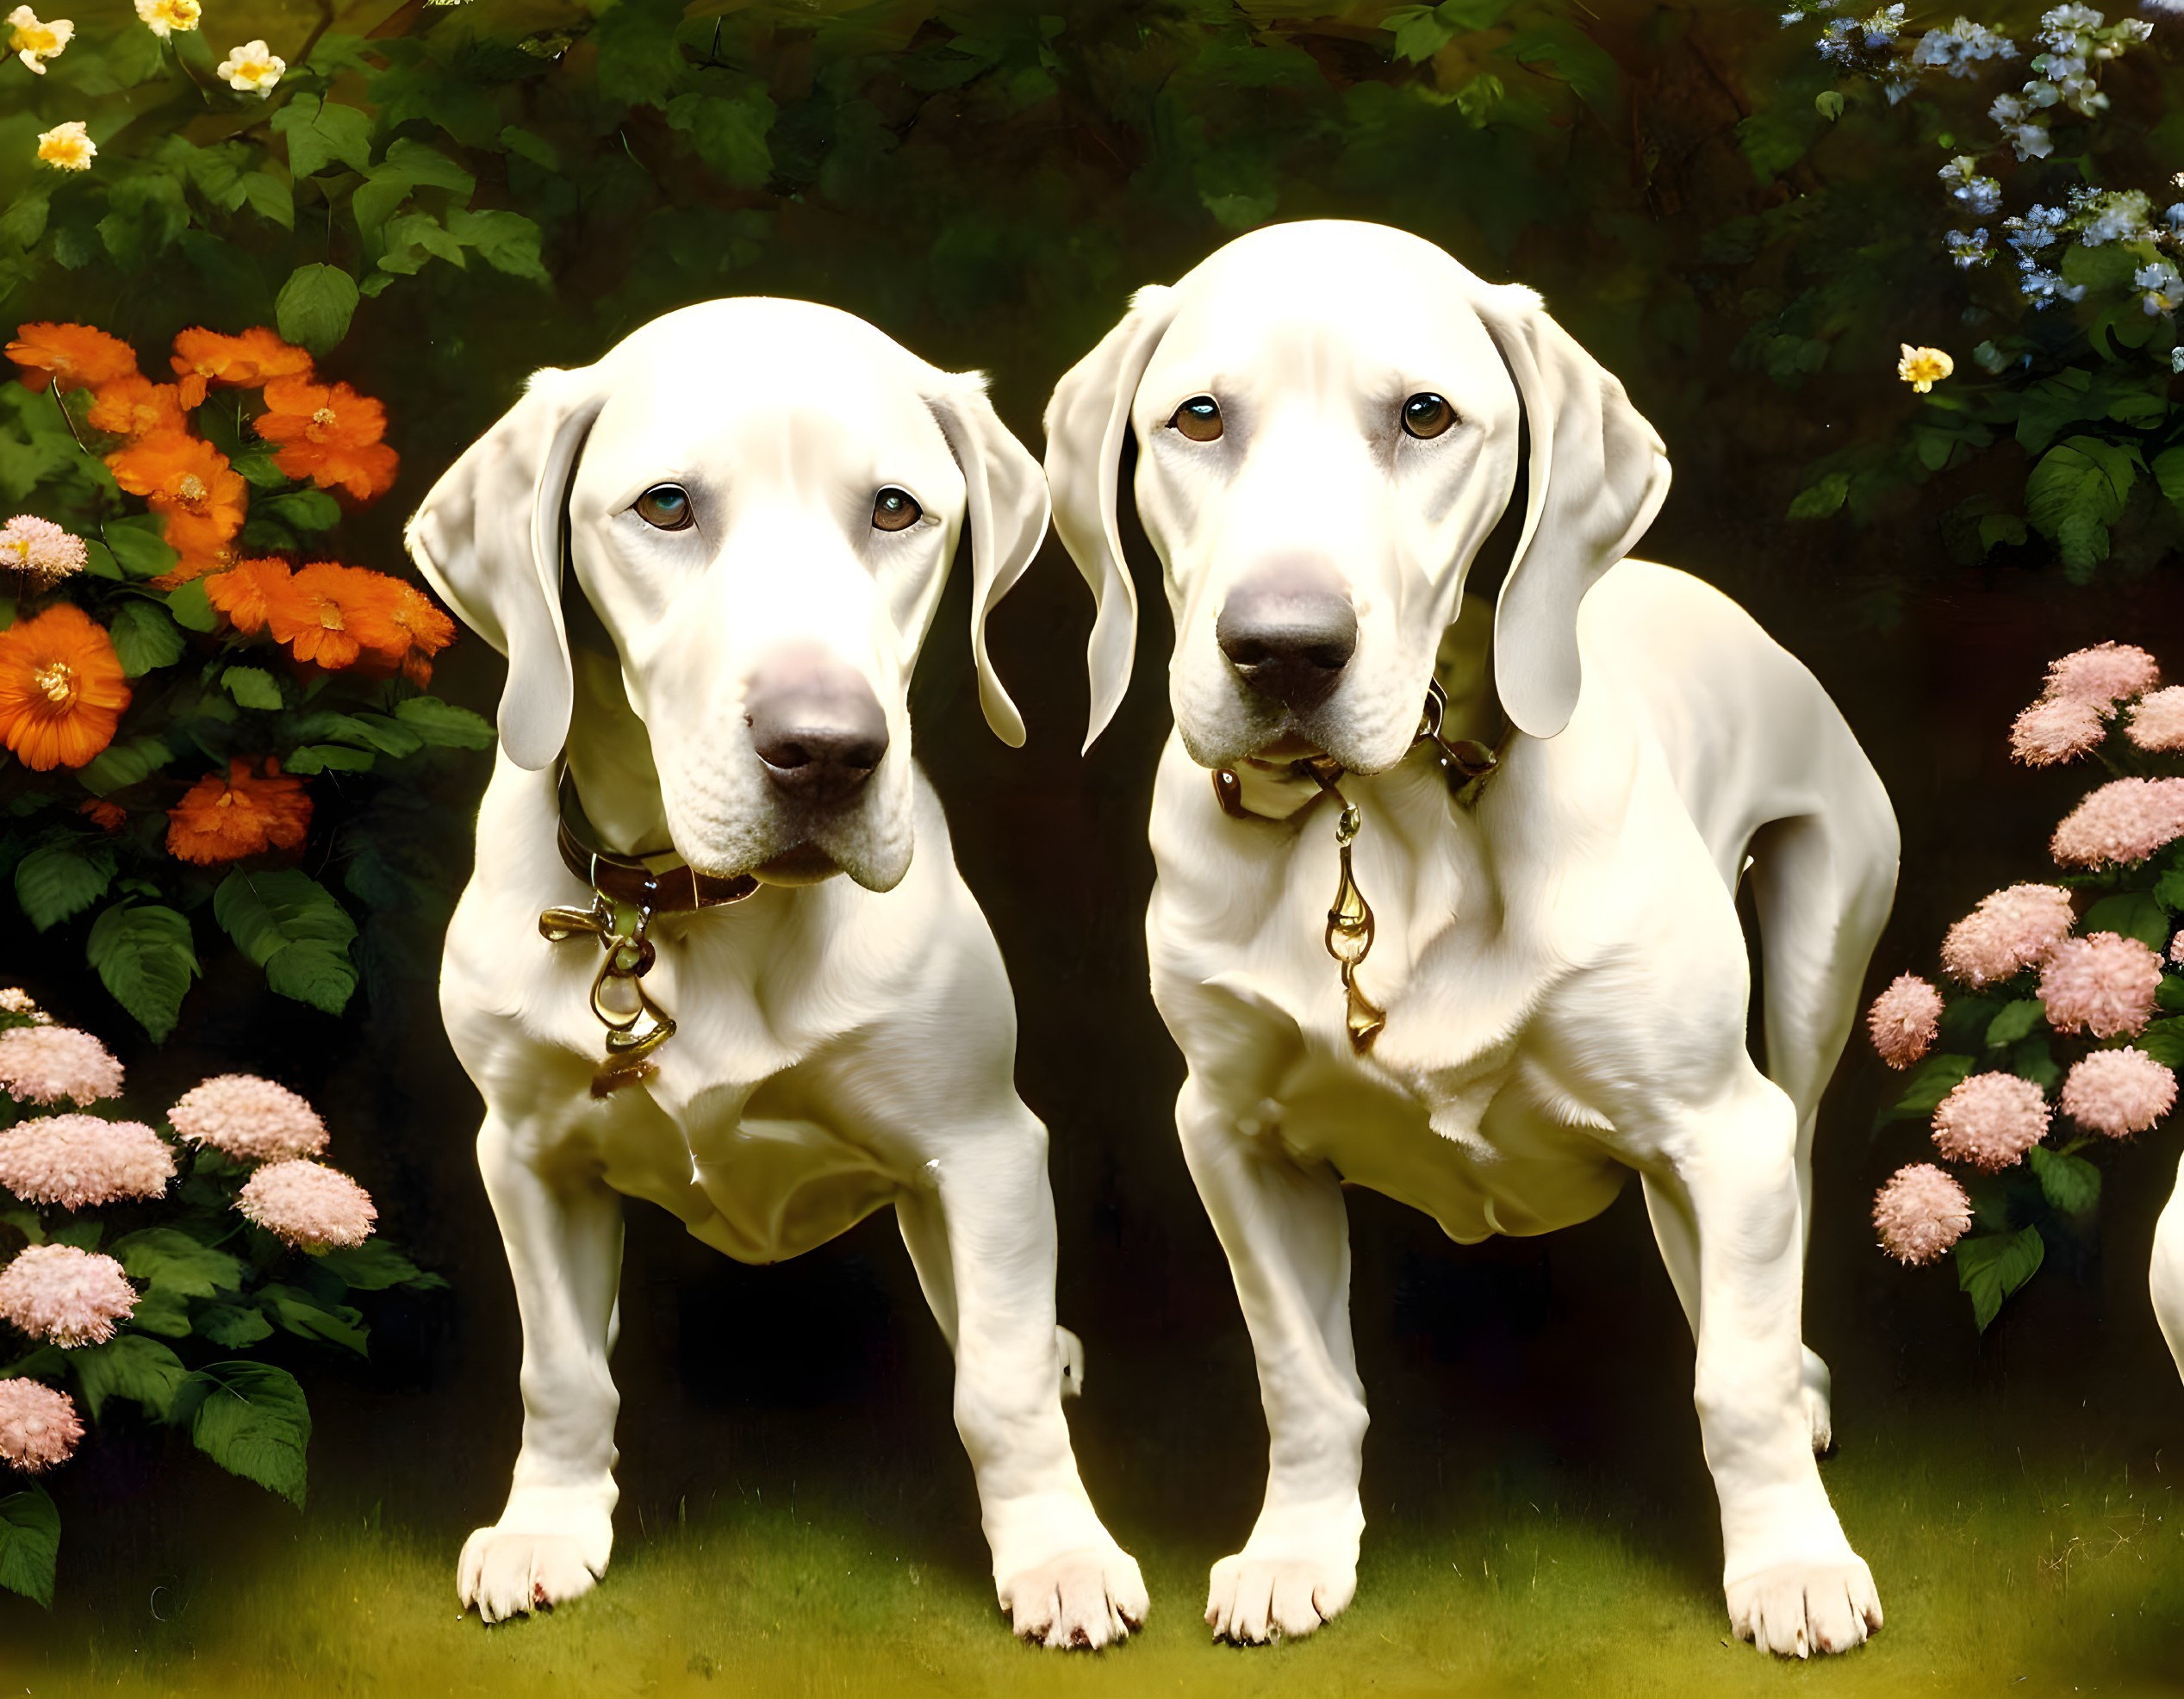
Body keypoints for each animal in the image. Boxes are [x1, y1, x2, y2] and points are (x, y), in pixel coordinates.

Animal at [410, 301, 1153, 1642]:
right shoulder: (526, 1155)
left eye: (897, 510)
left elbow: (999, 1389)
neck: (698, 913)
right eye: (665, 506)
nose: (828, 752)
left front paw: (1058, 1552)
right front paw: (548, 1524)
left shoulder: (982, 1147)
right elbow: (560, 1374)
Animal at [1039, 218, 1895, 1651]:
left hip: (1814, 962)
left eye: (1424, 416)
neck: (1384, 819)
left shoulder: (1715, 1125)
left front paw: (1788, 1565)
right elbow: (1299, 1375)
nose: (1282, 650)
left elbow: (1737, 1385)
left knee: (1789, 1187)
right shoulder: (1228, 1135)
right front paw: (1294, 1550)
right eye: (1197, 417)